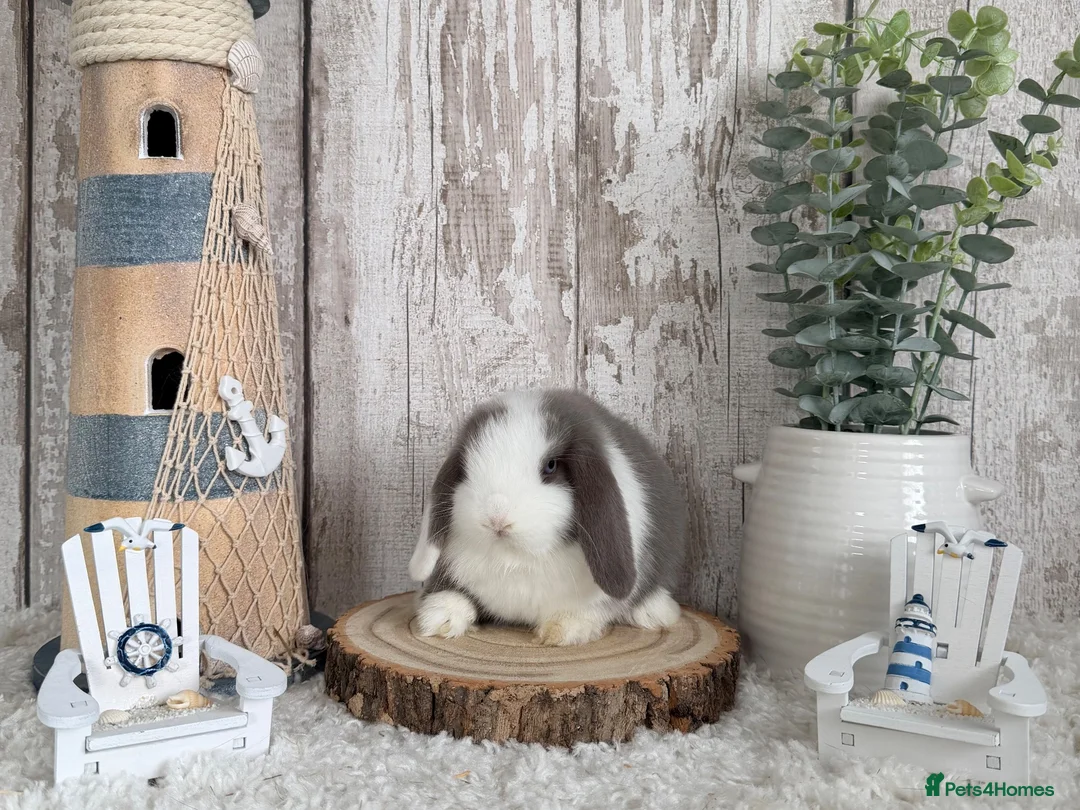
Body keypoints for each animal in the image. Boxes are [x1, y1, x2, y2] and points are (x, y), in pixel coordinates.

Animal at [408, 389, 688, 646]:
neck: (516, 559)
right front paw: (441, 617)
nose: (496, 518)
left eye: (550, 466)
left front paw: (564, 628)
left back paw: (655, 612)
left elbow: (587, 610)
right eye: (466, 467)